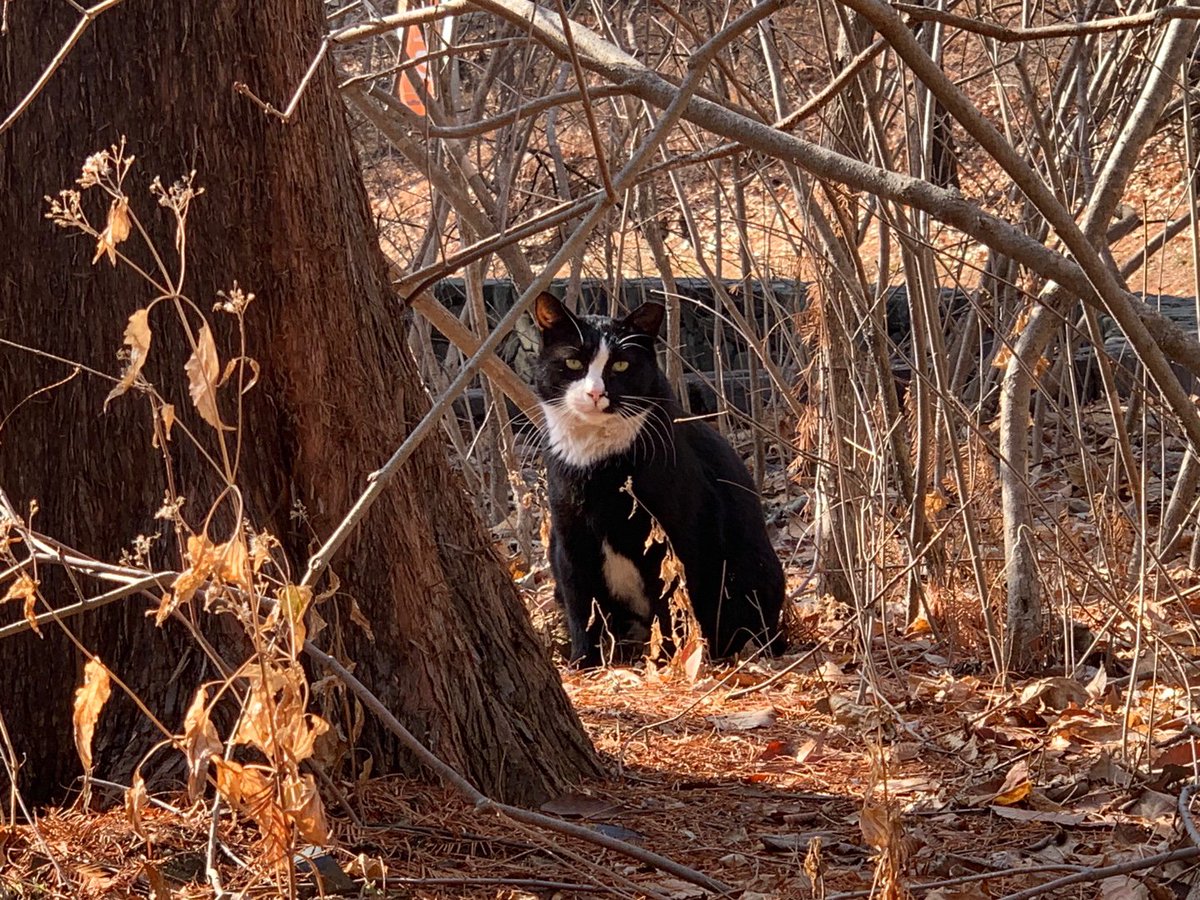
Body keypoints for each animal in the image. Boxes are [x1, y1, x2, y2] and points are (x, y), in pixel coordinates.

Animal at [535, 292, 787, 667]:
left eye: (620, 366)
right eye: (574, 363)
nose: (595, 393)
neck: (597, 461)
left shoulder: (674, 535)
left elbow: (670, 602)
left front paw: (672, 660)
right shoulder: (570, 534)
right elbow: (581, 602)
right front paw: (584, 662)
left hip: (752, 571)